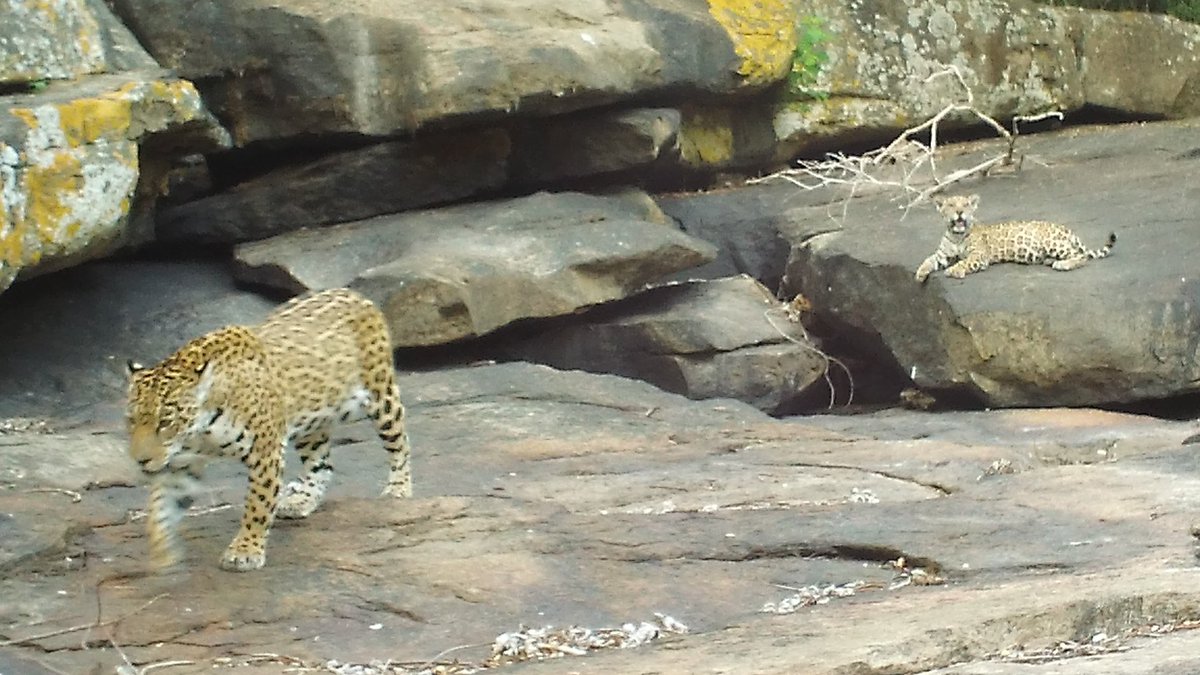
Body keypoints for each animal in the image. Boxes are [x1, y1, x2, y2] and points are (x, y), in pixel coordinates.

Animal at [126, 288, 412, 572]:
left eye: (165, 422)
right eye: (131, 420)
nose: (141, 460)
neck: (201, 430)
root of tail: (354, 293)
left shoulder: (265, 450)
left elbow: (258, 504)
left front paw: (245, 551)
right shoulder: (181, 463)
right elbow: (161, 506)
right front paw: (162, 552)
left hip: (379, 396)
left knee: (400, 439)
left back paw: (399, 488)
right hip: (310, 422)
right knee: (321, 464)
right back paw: (301, 500)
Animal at [914, 194, 1116, 283]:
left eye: (965, 204)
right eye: (950, 205)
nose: (959, 212)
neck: (957, 235)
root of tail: (1067, 230)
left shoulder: (978, 256)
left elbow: (964, 262)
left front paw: (954, 270)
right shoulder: (942, 255)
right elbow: (928, 260)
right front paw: (920, 273)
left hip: (1052, 242)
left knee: (1081, 256)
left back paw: (1063, 264)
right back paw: (1049, 260)